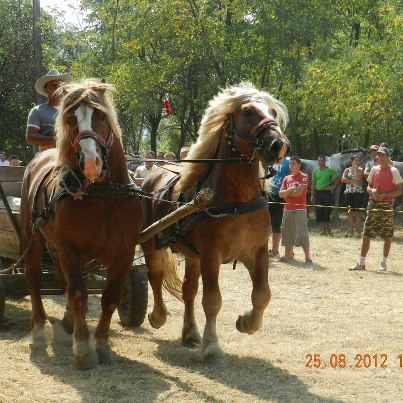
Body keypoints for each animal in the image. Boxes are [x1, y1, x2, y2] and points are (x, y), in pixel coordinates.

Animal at [20, 80, 144, 370]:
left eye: (101, 116)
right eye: (70, 119)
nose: (90, 162)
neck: (104, 196)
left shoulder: (125, 251)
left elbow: (110, 296)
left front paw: (101, 344)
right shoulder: (70, 248)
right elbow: (78, 293)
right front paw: (84, 350)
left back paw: (66, 323)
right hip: (32, 239)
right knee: (33, 278)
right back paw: (39, 327)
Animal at [142, 83, 290, 366]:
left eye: (273, 112)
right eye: (248, 111)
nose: (278, 145)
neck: (236, 199)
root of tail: (154, 172)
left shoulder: (257, 252)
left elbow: (262, 294)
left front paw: (247, 322)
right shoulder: (212, 256)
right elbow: (212, 300)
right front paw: (212, 346)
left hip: (192, 256)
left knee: (188, 290)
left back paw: (190, 332)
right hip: (151, 242)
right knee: (154, 276)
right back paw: (158, 316)